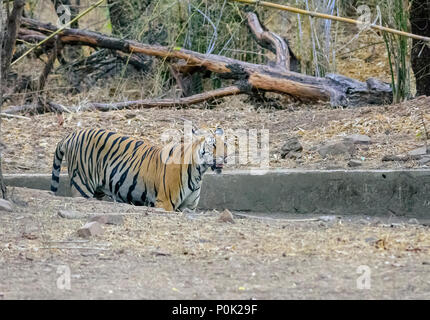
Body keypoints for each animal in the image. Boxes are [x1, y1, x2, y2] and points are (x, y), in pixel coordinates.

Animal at [50, 127, 227, 212]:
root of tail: (71, 134)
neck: (199, 172)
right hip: (82, 186)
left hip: (97, 191)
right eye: (213, 145)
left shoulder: (188, 208)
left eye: (225, 144)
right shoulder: (164, 203)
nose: (224, 157)